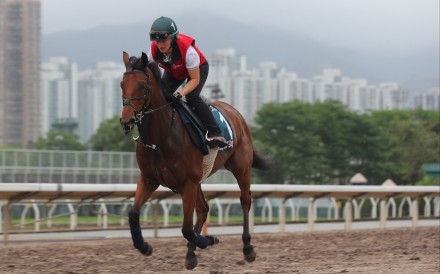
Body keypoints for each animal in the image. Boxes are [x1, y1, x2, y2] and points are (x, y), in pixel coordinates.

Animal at [121, 51, 272, 270]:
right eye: (121, 84)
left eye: (142, 85)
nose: (127, 121)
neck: (162, 136)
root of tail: (235, 113)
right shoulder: (149, 179)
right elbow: (133, 214)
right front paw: (144, 246)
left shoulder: (188, 182)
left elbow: (186, 228)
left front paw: (208, 240)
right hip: (200, 178)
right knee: (203, 209)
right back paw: (191, 254)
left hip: (241, 168)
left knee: (245, 201)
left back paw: (247, 248)